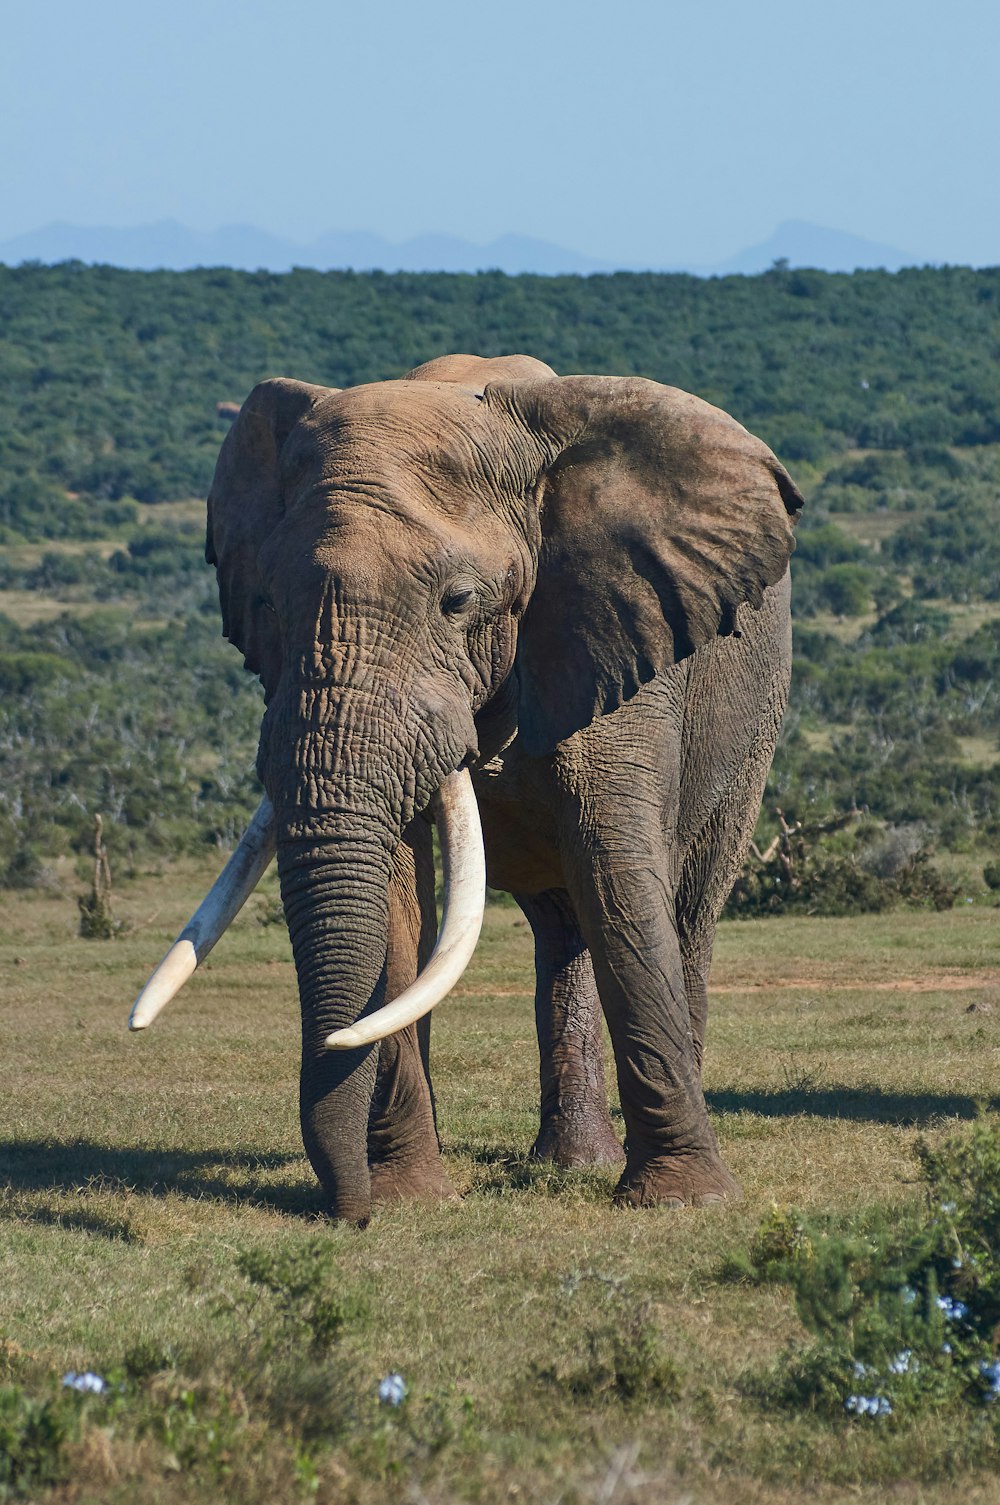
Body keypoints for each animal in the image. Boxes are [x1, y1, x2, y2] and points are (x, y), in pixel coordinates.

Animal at [131, 352, 807, 1222]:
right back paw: (571, 1163)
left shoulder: (617, 640)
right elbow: (395, 900)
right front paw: (411, 1197)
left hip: (753, 720)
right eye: (267, 602)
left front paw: (685, 1203)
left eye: (458, 601)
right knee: (562, 928)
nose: (348, 1212)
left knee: (685, 905)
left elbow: (621, 879)